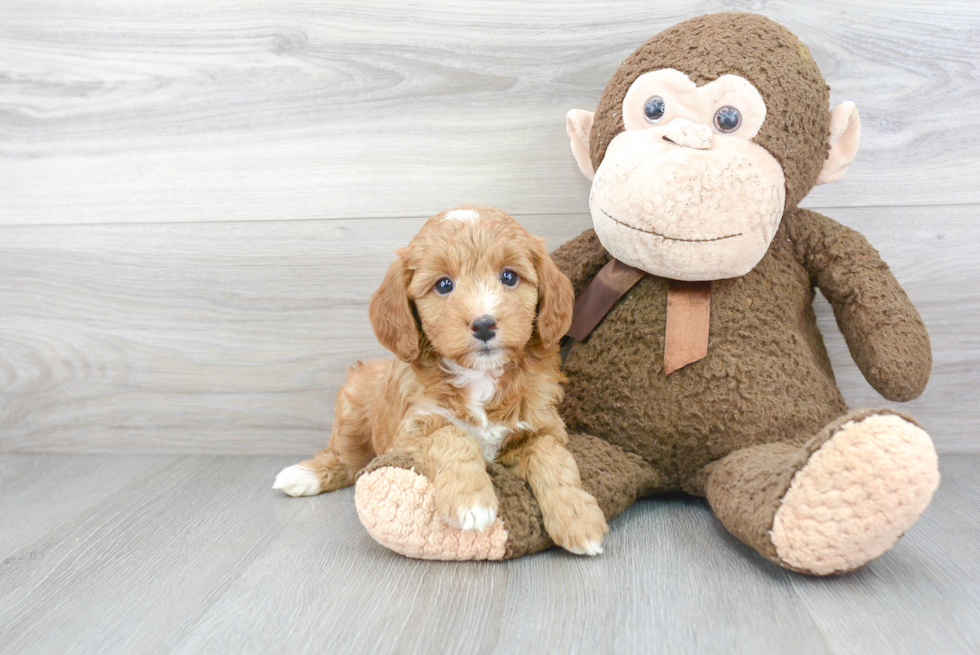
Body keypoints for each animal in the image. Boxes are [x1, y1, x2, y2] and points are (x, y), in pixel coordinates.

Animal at [272, 205, 608, 552]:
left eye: (509, 276)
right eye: (444, 285)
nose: (484, 324)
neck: (480, 375)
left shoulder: (541, 426)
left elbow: (552, 458)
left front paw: (579, 519)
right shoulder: (411, 432)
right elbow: (451, 435)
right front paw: (470, 501)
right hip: (353, 406)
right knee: (346, 459)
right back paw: (304, 475)